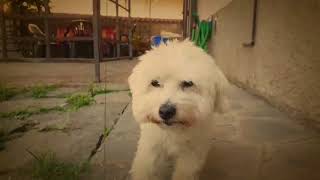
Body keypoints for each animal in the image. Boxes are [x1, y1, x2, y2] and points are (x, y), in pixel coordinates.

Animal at [129, 40, 229, 179]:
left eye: (188, 83)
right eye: (155, 83)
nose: (166, 111)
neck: (175, 130)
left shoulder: (192, 153)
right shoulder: (150, 145)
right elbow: (145, 169)